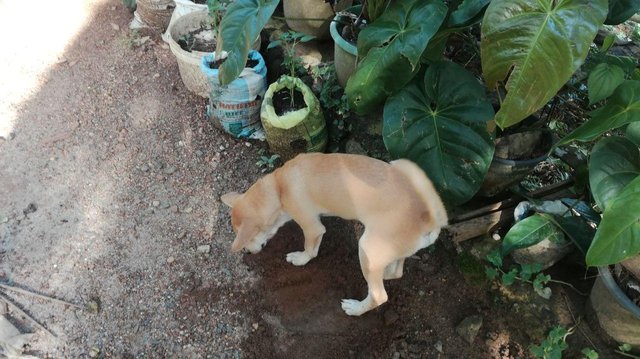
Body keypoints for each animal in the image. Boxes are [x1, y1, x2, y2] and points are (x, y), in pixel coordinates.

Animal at [222, 153, 448, 316]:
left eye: (248, 239)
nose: (248, 252)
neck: (279, 185)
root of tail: (428, 217)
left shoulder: (312, 227)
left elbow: (309, 249)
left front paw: (300, 259)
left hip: (367, 247)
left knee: (378, 296)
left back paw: (356, 309)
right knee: (395, 271)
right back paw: (382, 274)